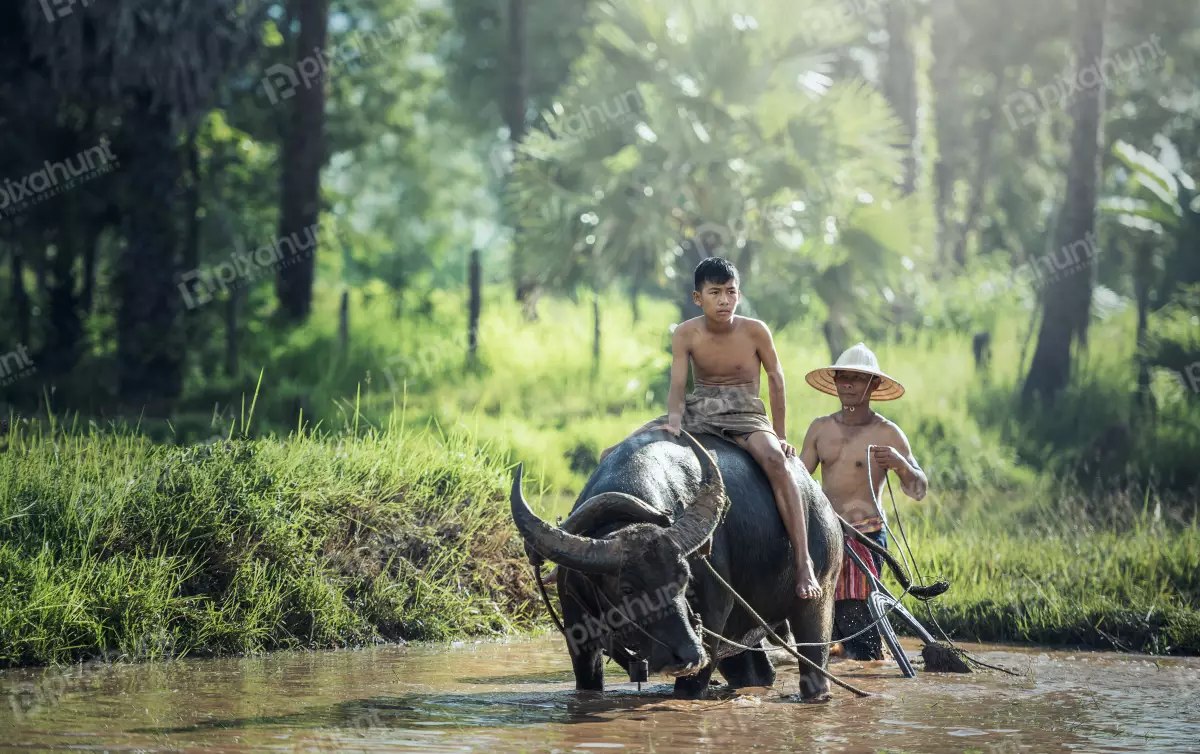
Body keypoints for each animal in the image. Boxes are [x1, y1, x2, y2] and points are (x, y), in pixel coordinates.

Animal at [508, 427, 844, 696]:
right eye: (627, 589)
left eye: (685, 578)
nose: (688, 655)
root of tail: (821, 501)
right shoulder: (578, 639)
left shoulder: (710, 628)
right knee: (756, 672)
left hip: (819, 598)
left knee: (814, 665)